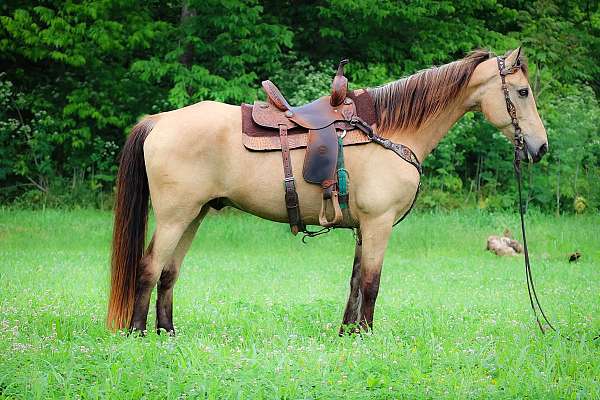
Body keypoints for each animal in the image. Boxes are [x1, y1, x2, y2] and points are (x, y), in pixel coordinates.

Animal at [106, 47, 548, 334]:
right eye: (523, 92)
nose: (540, 147)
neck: (391, 132)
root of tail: (159, 120)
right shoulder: (378, 224)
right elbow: (371, 282)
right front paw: (365, 335)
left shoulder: (363, 228)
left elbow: (355, 281)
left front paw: (347, 333)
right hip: (174, 216)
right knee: (149, 268)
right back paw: (138, 333)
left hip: (193, 216)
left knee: (169, 273)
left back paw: (167, 332)